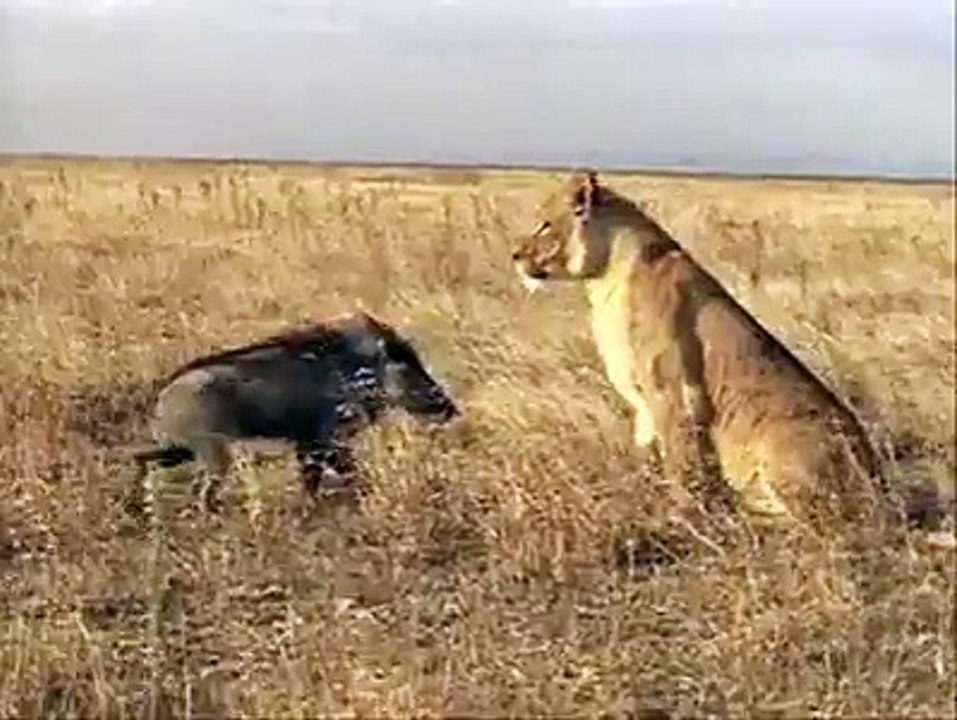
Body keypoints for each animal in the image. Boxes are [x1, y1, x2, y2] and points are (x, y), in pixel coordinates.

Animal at [510, 171, 933, 545]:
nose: (514, 256)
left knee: (823, 526)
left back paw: (744, 517)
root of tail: (882, 493)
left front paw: (679, 518)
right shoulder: (644, 406)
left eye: (544, 225)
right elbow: (646, 455)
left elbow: (680, 465)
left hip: (783, 437)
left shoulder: (672, 392)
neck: (602, 280)